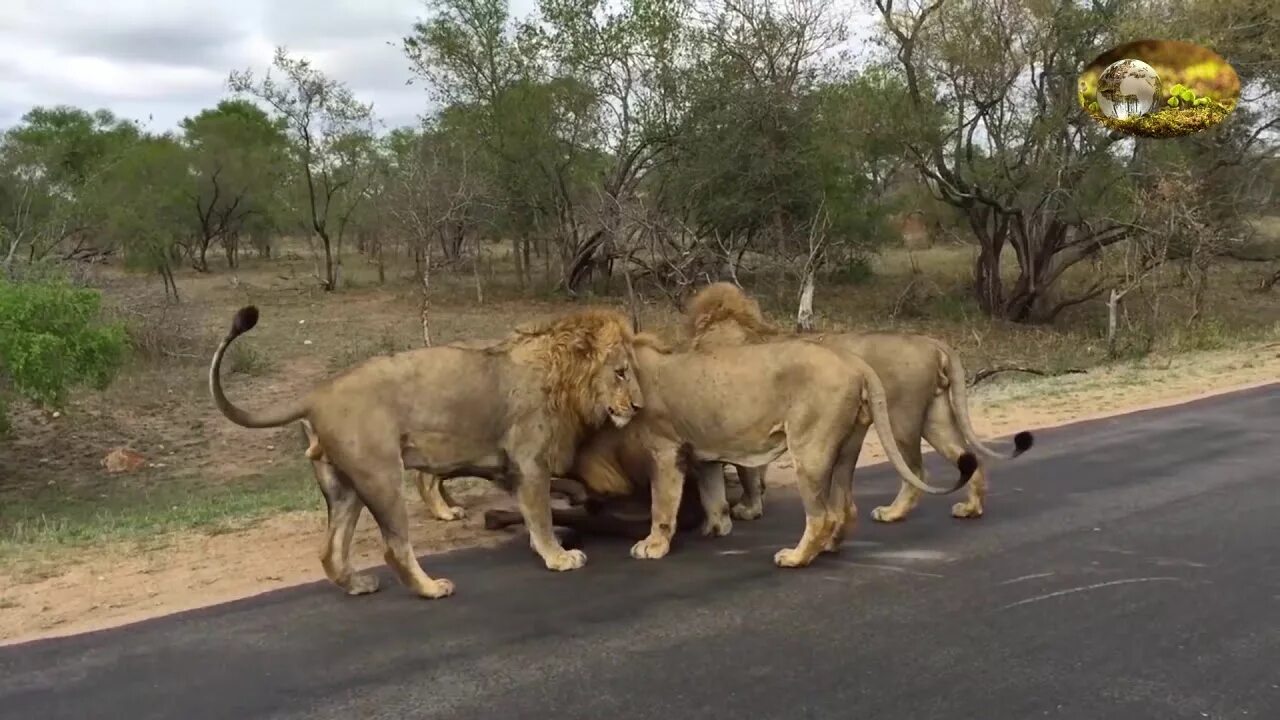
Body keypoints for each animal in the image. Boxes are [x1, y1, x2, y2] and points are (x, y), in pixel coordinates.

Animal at [212, 304, 650, 597]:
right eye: (620, 372)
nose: (639, 406)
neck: (562, 377)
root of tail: (315, 395)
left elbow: (535, 515)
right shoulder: (530, 463)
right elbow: (541, 516)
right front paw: (558, 557)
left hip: (344, 487)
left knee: (330, 550)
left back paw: (357, 584)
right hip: (381, 475)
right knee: (394, 547)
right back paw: (430, 588)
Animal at [576, 330, 972, 566]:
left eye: (620, 373)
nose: (624, 406)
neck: (645, 371)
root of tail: (855, 363)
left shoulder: (666, 450)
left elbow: (662, 504)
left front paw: (653, 545)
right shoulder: (704, 452)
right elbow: (713, 495)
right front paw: (716, 529)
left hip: (810, 449)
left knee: (822, 513)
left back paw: (797, 557)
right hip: (847, 447)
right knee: (845, 507)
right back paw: (829, 545)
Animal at [680, 280, 1029, 520]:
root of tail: (931, 341)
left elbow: (748, 473)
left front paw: (749, 509)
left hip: (901, 419)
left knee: (916, 470)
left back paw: (892, 513)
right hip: (934, 417)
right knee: (967, 456)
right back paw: (970, 508)